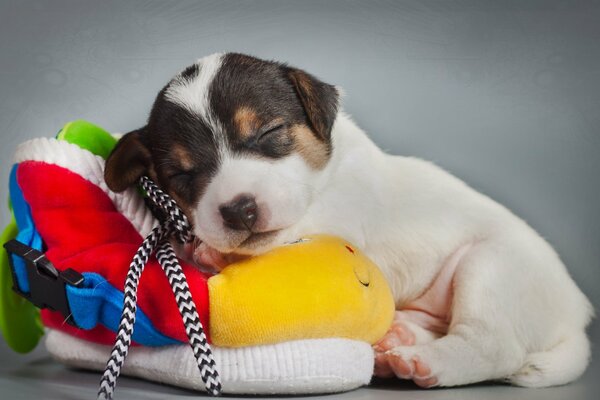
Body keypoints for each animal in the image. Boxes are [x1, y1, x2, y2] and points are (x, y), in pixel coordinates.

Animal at [105, 52, 592, 388]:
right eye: (181, 175)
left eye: (268, 133)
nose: (239, 209)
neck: (326, 175)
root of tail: (577, 319)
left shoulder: (342, 215)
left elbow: (298, 229)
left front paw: (209, 252)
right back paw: (399, 337)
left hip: (493, 268)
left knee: (494, 346)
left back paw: (427, 362)